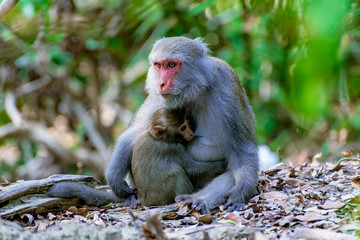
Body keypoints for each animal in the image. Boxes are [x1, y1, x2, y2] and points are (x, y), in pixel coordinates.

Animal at [107, 36, 258, 213]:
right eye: (158, 65)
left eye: (171, 65)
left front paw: (241, 192)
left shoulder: (226, 89)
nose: (161, 83)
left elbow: (242, 148)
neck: (195, 90)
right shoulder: (159, 97)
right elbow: (134, 133)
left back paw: (198, 199)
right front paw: (115, 179)